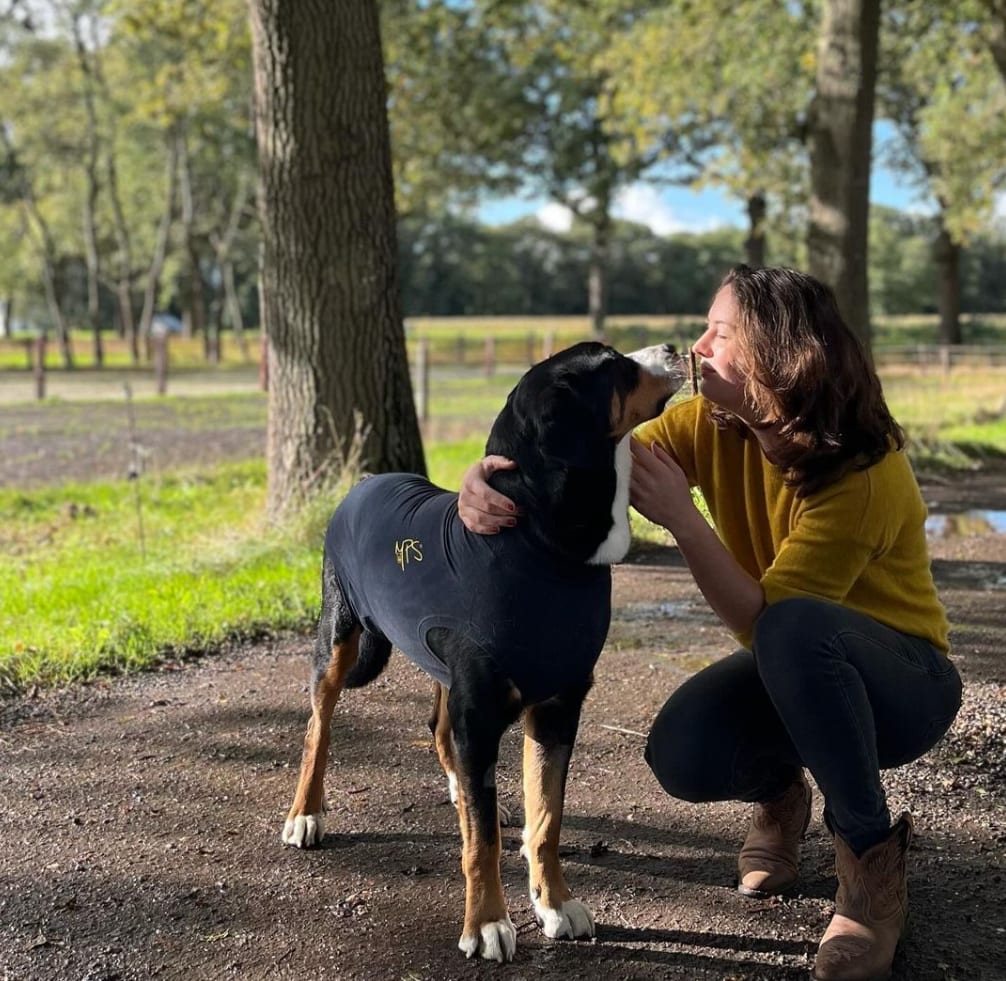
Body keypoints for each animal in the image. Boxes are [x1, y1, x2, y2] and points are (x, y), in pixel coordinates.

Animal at [283, 342, 688, 961]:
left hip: (444, 669)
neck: (540, 545)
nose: (671, 347)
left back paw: (464, 791)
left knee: (440, 732)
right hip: (338, 639)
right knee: (318, 728)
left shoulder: (557, 708)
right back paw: (306, 814)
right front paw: (487, 923)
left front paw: (555, 902)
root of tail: (369, 480)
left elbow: (546, 819)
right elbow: (483, 845)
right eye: (614, 365)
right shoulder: (482, 708)